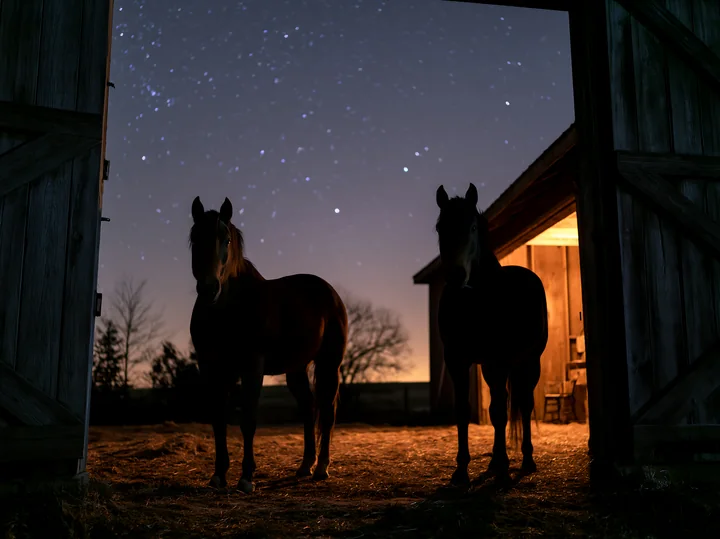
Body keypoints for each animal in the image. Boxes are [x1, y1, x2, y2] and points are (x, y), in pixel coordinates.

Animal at [188, 196, 348, 494]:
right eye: (195, 237)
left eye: (226, 239)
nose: (208, 289)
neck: (228, 309)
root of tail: (330, 293)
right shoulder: (212, 367)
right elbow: (218, 419)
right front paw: (218, 475)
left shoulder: (252, 366)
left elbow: (248, 419)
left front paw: (246, 477)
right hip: (296, 368)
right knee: (309, 407)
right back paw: (305, 466)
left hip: (329, 364)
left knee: (326, 411)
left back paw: (321, 468)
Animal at [434, 183, 548, 485]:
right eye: (439, 227)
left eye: (473, 226)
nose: (455, 275)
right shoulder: (457, 360)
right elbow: (464, 411)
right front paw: (461, 470)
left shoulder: (501, 360)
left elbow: (500, 413)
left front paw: (504, 469)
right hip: (490, 366)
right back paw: (495, 462)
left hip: (528, 362)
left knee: (522, 404)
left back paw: (525, 460)